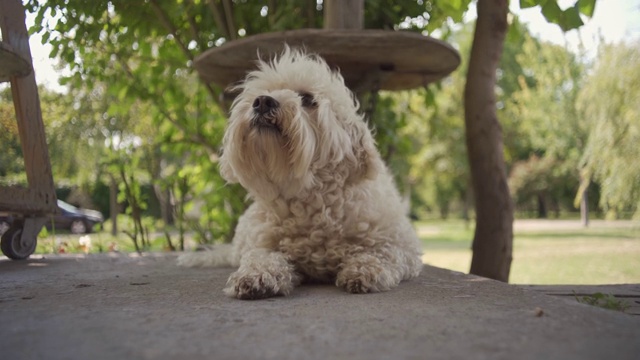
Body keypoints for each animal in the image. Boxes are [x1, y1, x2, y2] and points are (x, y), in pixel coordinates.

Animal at [178, 48, 422, 300]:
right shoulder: (263, 245)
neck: (308, 200)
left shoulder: (402, 246)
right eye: (263, 93)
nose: (262, 101)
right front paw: (258, 274)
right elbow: (261, 256)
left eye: (307, 99)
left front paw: (364, 268)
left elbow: (382, 253)